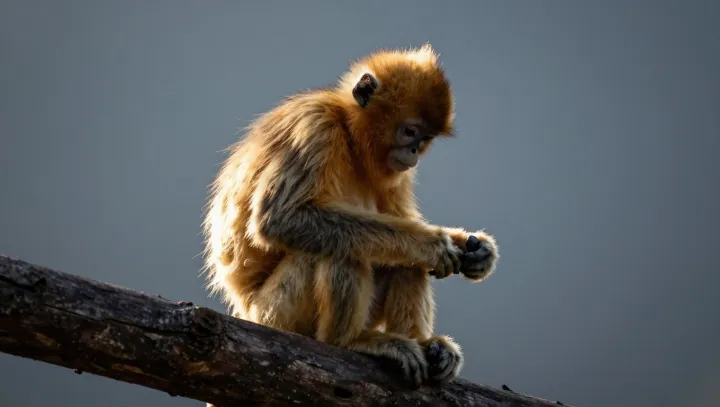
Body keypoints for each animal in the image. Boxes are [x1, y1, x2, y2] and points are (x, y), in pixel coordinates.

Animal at [201, 44, 499, 390]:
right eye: (409, 132)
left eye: (424, 140)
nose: (413, 152)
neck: (347, 132)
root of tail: (245, 311)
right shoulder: (314, 126)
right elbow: (280, 219)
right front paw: (432, 244)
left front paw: (476, 250)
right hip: (275, 315)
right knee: (341, 249)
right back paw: (350, 342)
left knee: (402, 261)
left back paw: (427, 347)